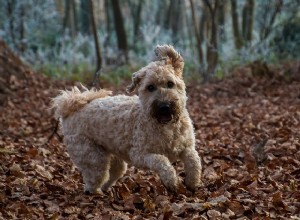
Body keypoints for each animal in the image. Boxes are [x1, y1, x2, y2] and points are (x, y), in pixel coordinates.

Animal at [52, 45, 202, 194]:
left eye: (170, 83)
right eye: (150, 87)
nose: (164, 106)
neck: (167, 126)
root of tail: (70, 108)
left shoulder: (186, 147)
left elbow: (194, 160)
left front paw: (192, 182)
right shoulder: (140, 155)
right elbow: (161, 161)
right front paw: (171, 180)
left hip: (114, 159)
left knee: (111, 175)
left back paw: (107, 190)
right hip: (93, 157)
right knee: (93, 181)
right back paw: (96, 193)